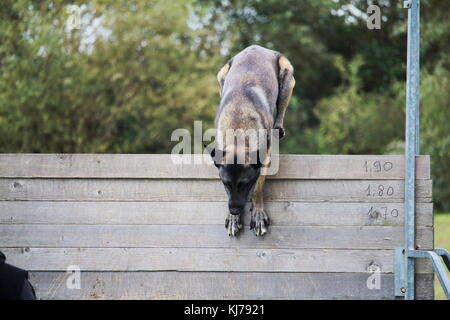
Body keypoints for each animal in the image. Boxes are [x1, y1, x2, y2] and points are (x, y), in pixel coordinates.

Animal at [210, 45, 298, 236]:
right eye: (226, 184)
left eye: (245, 184)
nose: (235, 210)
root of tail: (258, 48)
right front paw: (233, 219)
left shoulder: (264, 159)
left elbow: (258, 188)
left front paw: (257, 215)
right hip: (221, 74)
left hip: (286, 74)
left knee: (281, 109)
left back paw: (278, 127)